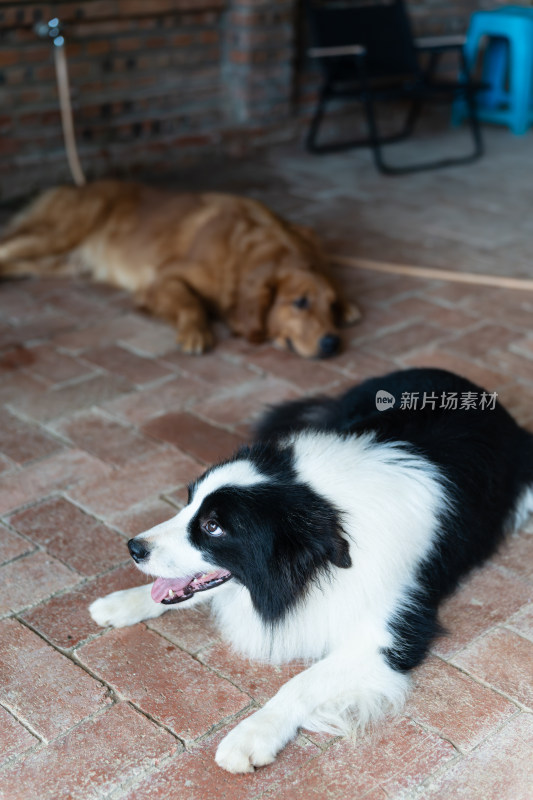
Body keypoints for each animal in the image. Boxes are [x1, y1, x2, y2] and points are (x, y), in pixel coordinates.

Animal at [1, 183, 358, 358]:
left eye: (330, 305)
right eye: (300, 303)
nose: (333, 343)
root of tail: (73, 186)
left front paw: (349, 304)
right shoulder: (161, 280)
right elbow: (190, 302)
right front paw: (196, 332)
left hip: (58, 262)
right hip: (58, 234)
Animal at [89, 368, 528, 776]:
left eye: (213, 526)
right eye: (188, 503)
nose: (134, 548)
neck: (323, 506)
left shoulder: (389, 636)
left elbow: (300, 682)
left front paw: (251, 735)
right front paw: (121, 603)